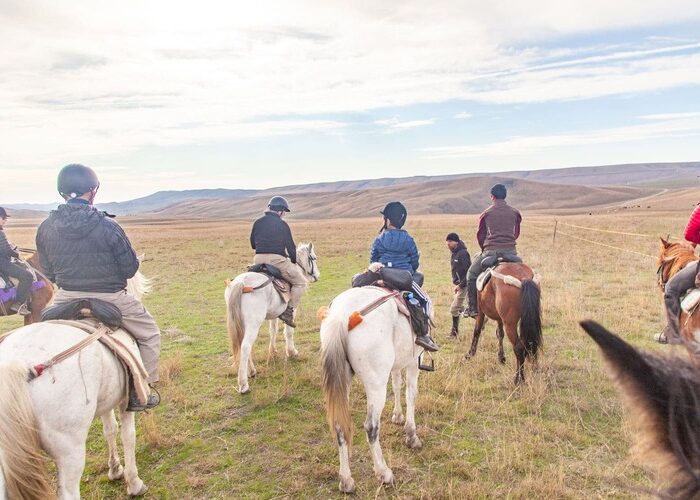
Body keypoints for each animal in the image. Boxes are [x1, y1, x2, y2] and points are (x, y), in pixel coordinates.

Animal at [0, 270, 152, 499]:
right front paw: (134, 483)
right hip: (69, 448)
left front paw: (115, 469)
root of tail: (17, 364)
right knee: (69, 492)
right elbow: (129, 436)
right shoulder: (128, 400)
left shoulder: (106, 400)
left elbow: (110, 430)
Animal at [225, 243, 320, 394]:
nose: (317, 275)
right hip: (253, 324)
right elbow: (289, 331)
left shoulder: (274, 313)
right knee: (245, 346)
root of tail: (241, 283)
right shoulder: (292, 310)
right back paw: (243, 384)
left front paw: (273, 351)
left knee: (243, 344)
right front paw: (291, 352)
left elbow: (273, 331)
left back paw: (251, 371)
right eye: (314, 258)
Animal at [320, 286, 423, 493]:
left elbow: (397, 384)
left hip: (342, 382)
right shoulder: (413, 361)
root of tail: (341, 315)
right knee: (371, 427)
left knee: (339, 427)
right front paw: (411, 435)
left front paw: (397, 416)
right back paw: (384, 473)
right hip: (375, 385)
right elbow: (411, 393)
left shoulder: (397, 364)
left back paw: (346, 481)